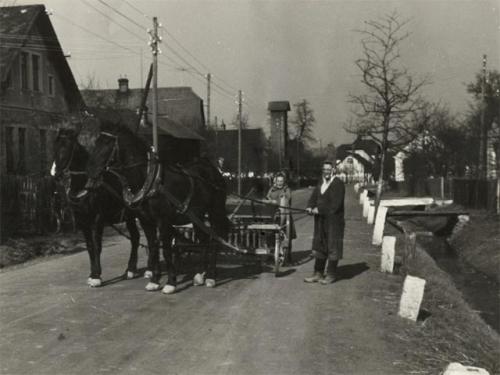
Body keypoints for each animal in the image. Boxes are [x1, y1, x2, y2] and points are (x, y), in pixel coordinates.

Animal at [51, 128, 155, 286]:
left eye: (68, 147)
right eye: (55, 148)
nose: (55, 174)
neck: (86, 185)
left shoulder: (97, 220)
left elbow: (97, 246)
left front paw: (96, 276)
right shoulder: (83, 222)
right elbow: (89, 247)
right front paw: (92, 273)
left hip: (141, 214)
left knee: (149, 236)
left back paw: (150, 269)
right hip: (130, 217)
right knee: (136, 237)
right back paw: (130, 269)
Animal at [85, 122, 229, 296]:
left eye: (107, 143)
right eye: (96, 142)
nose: (90, 171)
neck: (149, 180)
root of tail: (211, 169)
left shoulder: (164, 221)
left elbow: (166, 250)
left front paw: (171, 283)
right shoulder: (146, 221)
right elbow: (153, 247)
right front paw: (154, 281)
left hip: (215, 210)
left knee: (214, 239)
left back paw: (211, 277)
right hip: (197, 215)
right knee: (203, 239)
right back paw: (200, 274)